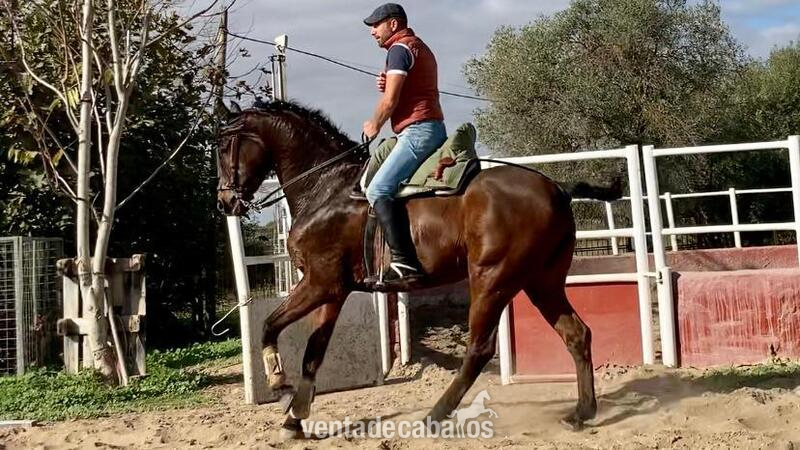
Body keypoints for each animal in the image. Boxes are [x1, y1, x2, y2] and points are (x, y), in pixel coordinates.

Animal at [216, 100, 610, 438]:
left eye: (222, 147)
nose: (225, 202)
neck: (325, 188)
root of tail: (557, 189)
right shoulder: (333, 292)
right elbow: (314, 352)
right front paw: (294, 418)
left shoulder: (319, 283)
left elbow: (269, 327)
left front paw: (279, 385)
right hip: (541, 281)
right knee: (576, 334)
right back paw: (581, 412)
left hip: (492, 280)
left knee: (479, 349)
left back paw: (435, 415)